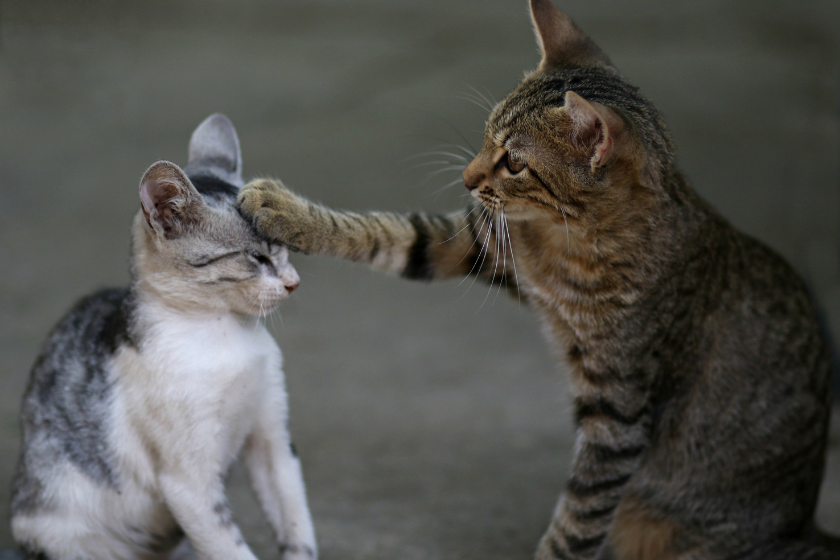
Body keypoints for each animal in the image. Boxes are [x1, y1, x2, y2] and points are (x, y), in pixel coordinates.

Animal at [9, 114, 318, 560]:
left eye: (285, 250)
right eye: (257, 257)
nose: (294, 282)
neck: (225, 334)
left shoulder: (275, 441)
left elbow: (296, 522)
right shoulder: (188, 481)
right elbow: (230, 546)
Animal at [235, 1, 832, 560]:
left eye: (515, 164)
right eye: (484, 137)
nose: (467, 178)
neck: (567, 243)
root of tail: (802, 524)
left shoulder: (618, 412)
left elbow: (579, 520)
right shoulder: (479, 244)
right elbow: (384, 232)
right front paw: (286, 211)